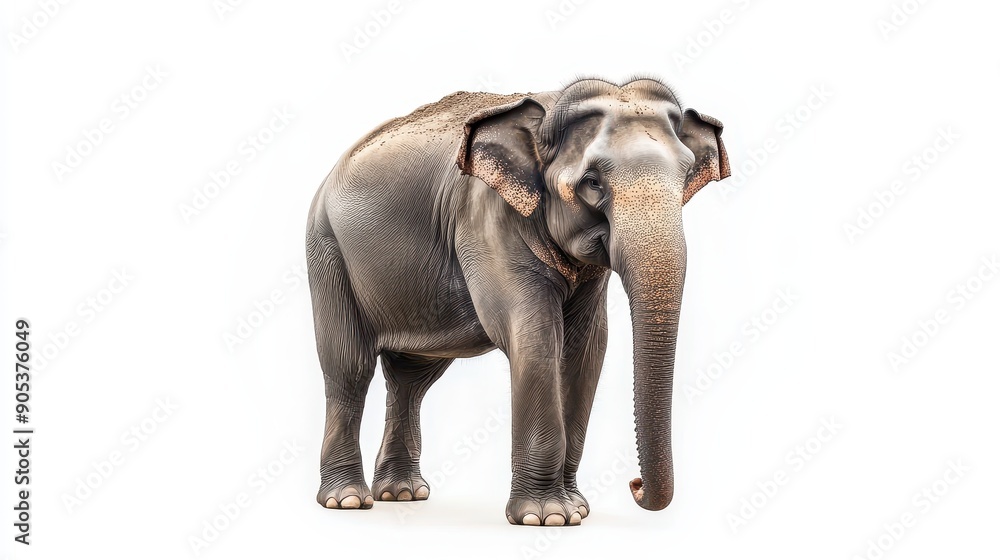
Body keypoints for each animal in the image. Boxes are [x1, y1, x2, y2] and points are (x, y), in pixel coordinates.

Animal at [305, 76, 730, 526]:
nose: (634, 485)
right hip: (327, 251)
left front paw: (576, 508)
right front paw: (546, 516)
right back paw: (348, 500)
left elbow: (586, 350)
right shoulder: (486, 219)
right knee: (348, 368)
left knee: (411, 378)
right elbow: (533, 335)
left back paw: (402, 494)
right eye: (593, 182)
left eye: (685, 175)